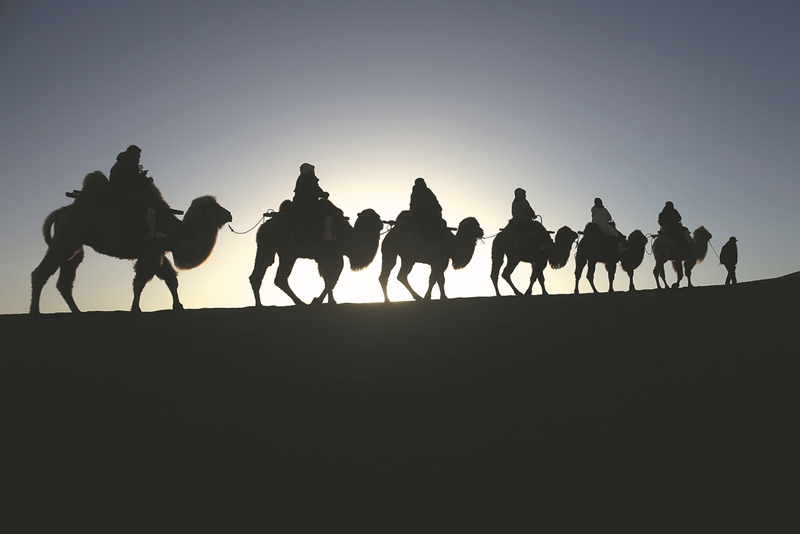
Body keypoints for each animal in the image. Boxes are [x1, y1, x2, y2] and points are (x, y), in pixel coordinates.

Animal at [30, 172, 231, 314]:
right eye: (215, 206)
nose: (229, 214)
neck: (178, 231)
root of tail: (63, 211)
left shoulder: (158, 252)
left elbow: (171, 280)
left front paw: (178, 306)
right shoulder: (152, 252)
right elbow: (140, 282)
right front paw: (135, 308)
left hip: (74, 245)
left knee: (65, 280)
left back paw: (77, 312)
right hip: (66, 239)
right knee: (41, 273)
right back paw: (35, 311)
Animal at [252, 204, 386, 308]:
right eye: (377, 217)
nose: (382, 223)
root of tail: (265, 226)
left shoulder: (325, 258)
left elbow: (328, 279)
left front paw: (331, 301)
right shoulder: (334, 255)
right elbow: (332, 279)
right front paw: (317, 301)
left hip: (265, 247)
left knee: (258, 272)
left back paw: (259, 305)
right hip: (288, 253)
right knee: (280, 278)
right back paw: (300, 303)